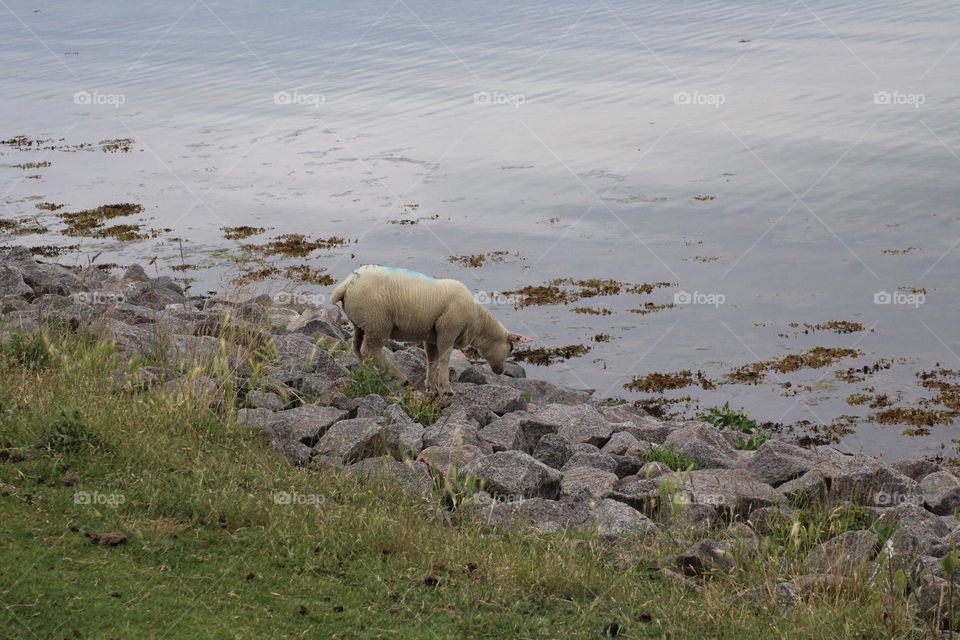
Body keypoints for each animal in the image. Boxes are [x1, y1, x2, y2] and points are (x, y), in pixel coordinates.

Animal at [328, 264, 524, 396]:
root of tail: (347, 283)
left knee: (356, 348)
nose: (500, 372)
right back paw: (399, 377)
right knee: (371, 350)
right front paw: (446, 389)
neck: (477, 321)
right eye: (511, 348)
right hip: (378, 322)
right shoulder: (448, 331)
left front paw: (432, 387)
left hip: (361, 323)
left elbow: (432, 360)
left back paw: (367, 371)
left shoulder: (432, 336)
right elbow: (444, 359)